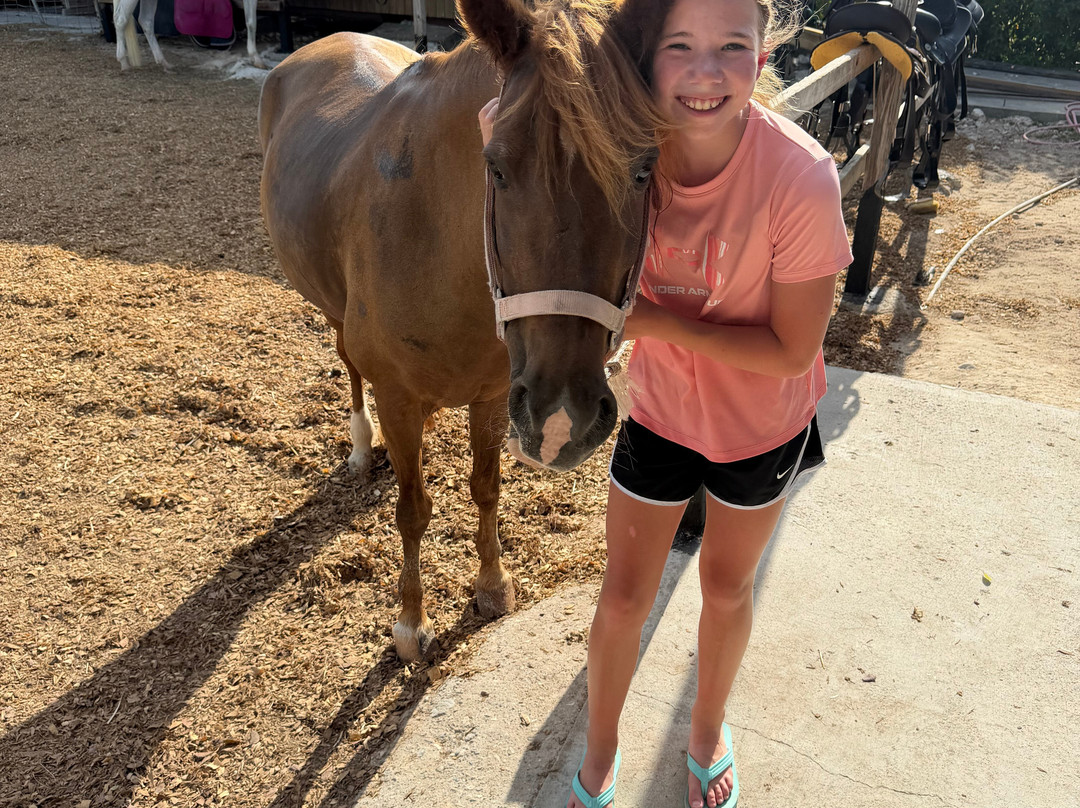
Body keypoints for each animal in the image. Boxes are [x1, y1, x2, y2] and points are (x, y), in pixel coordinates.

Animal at [113, 0, 265, 70]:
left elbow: (251, 22)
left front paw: (256, 59)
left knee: (146, 21)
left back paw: (164, 62)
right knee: (120, 19)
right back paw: (124, 62)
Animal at [258, 0, 669, 661]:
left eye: (642, 171)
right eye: (495, 168)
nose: (565, 415)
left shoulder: (497, 394)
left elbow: (485, 486)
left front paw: (492, 585)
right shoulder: (399, 396)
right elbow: (413, 510)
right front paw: (410, 622)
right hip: (335, 316)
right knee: (347, 363)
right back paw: (359, 444)